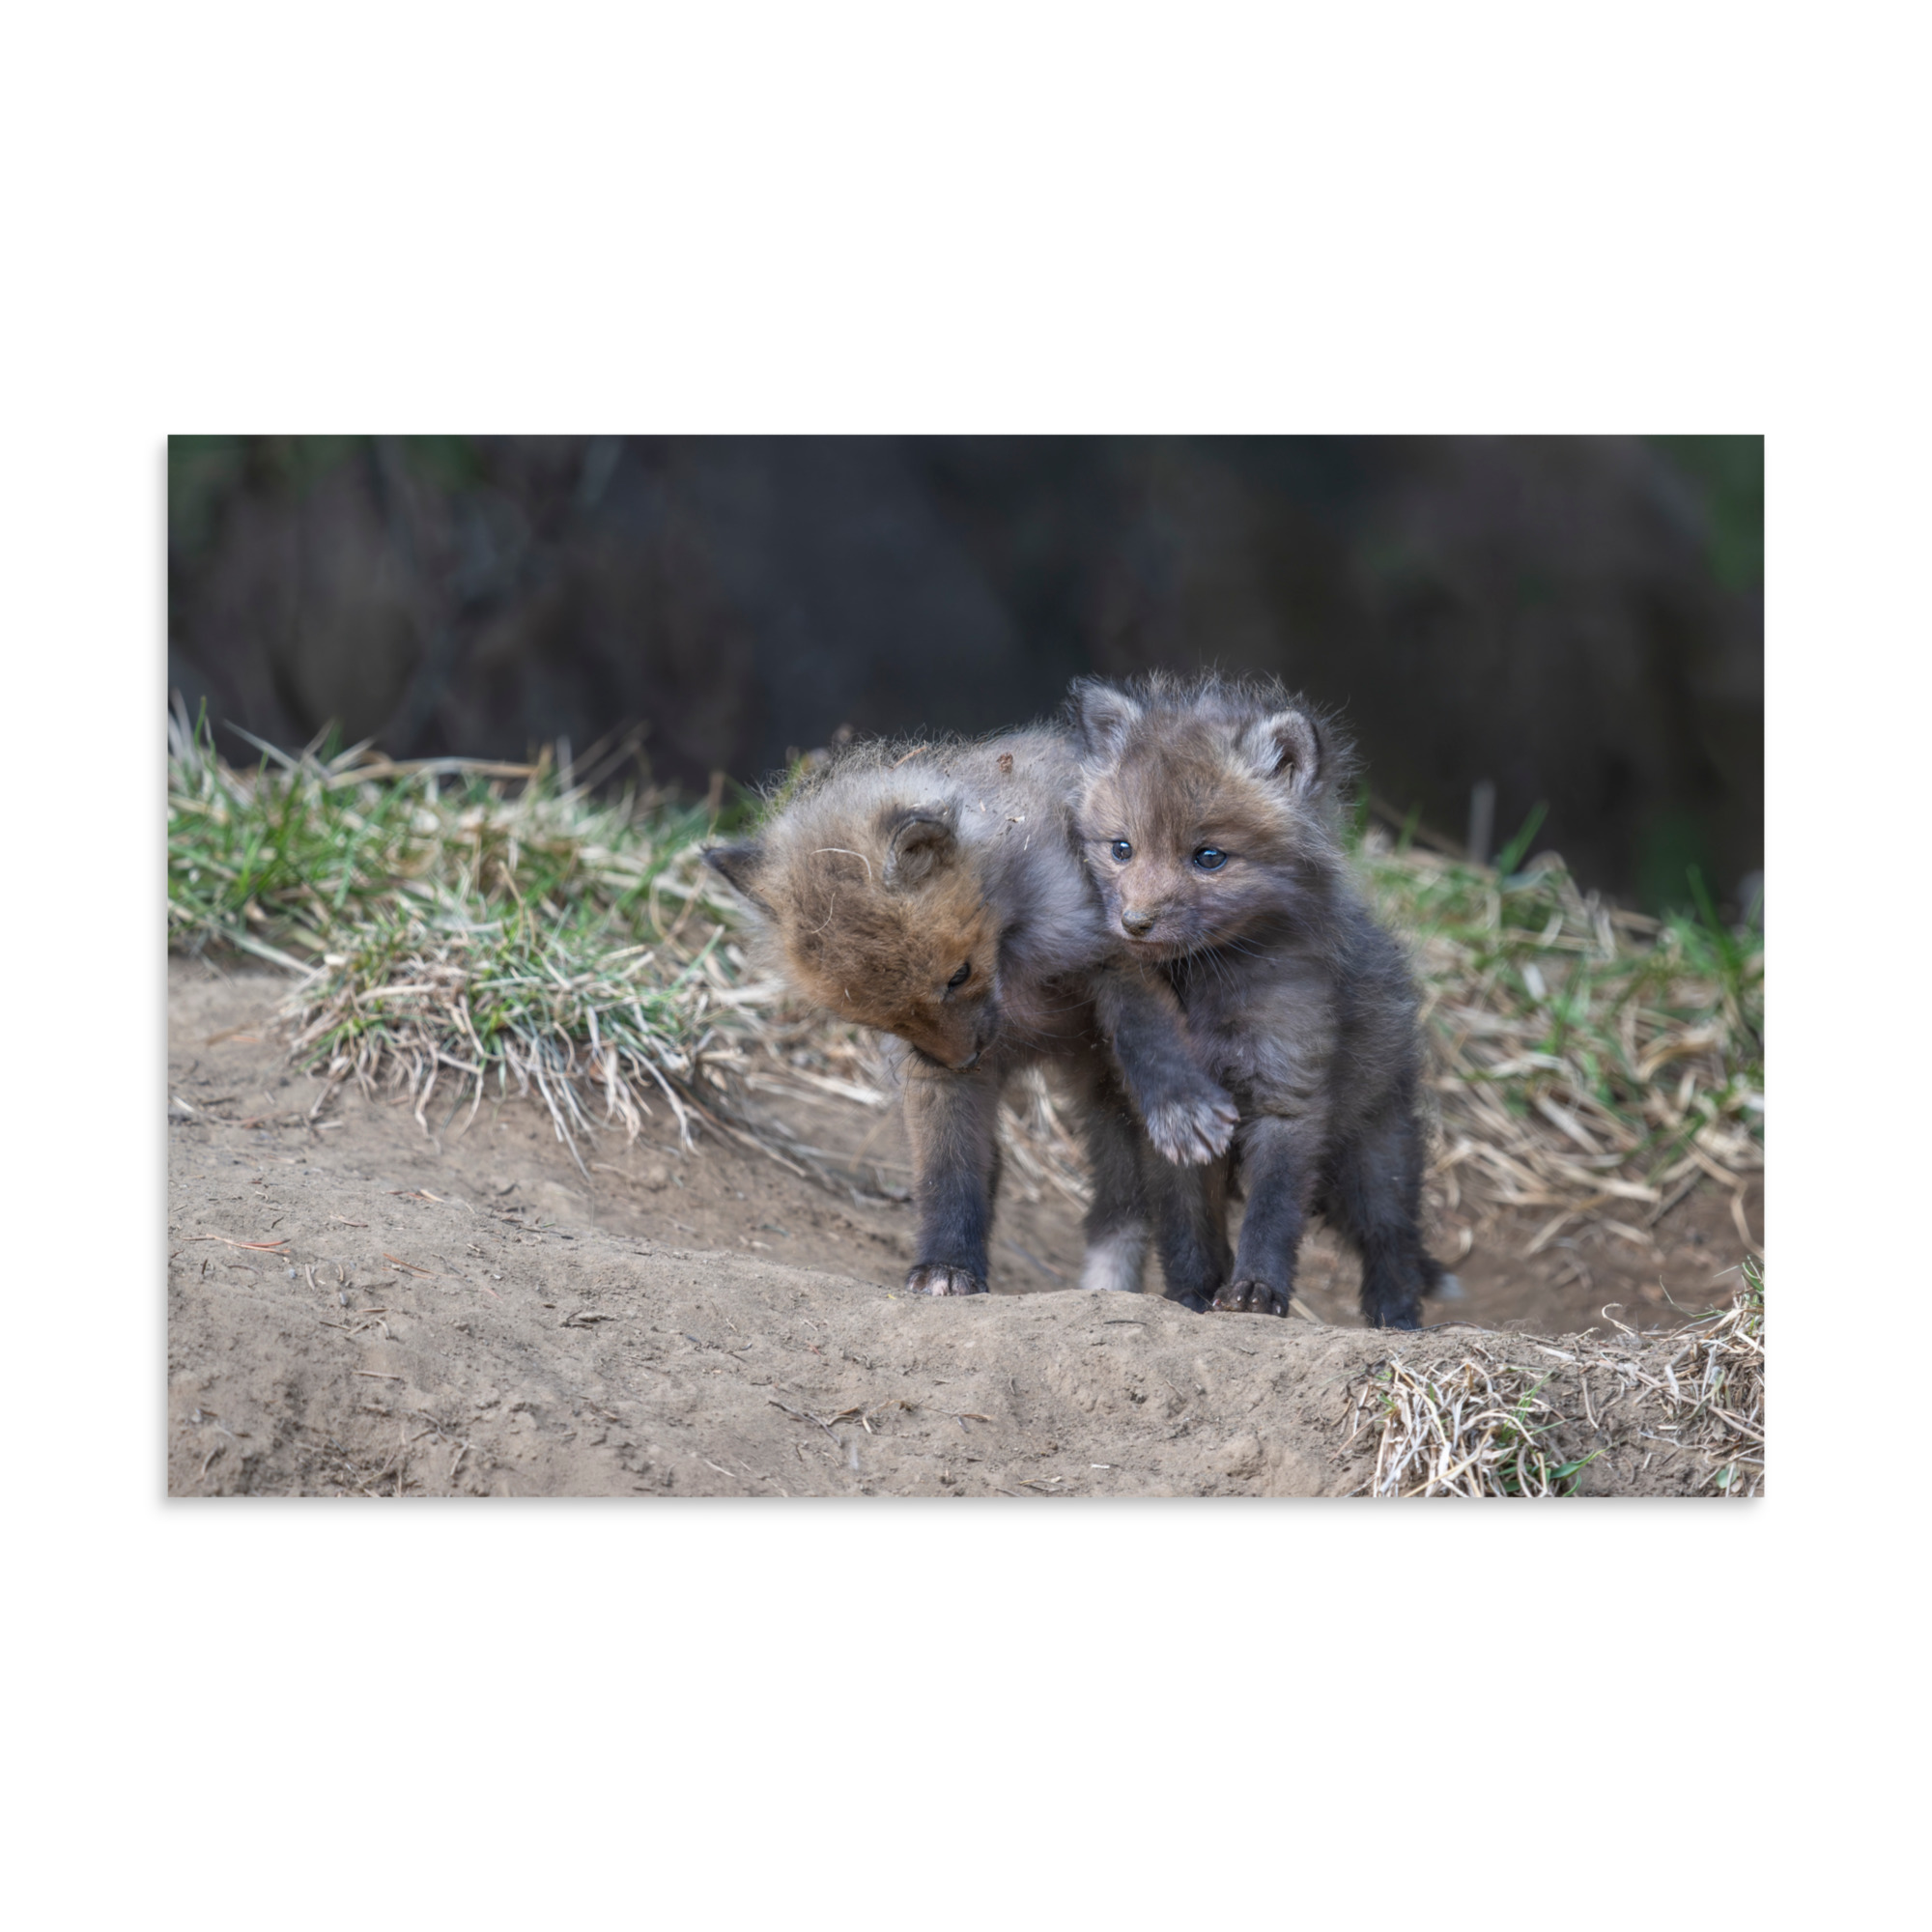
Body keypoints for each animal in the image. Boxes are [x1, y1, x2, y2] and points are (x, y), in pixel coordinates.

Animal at [703, 726, 1240, 1301]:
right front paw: (947, 1265)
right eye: (879, 1018)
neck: (1015, 966)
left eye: (958, 976)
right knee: (1117, 1205)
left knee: (1176, 1208)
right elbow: (948, 1172)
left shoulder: (1114, 950)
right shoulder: (929, 1072)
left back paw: (1195, 1293)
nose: (964, 1060)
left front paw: (1180, 1105)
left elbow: (1148, 1035)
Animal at [1068, 672, 1453, 1330]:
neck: (1205, 989)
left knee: (1393, 1241)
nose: (1134, 923)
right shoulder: (1174, 1124)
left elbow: (1272, 1214)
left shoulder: (1288, 1096)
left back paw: (1396, 1320)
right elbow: (1186, 1227)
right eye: (1121, 849)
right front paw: (1192, 1296)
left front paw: (1255, 1292)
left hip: (1375, 1156)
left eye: (1209, 857)